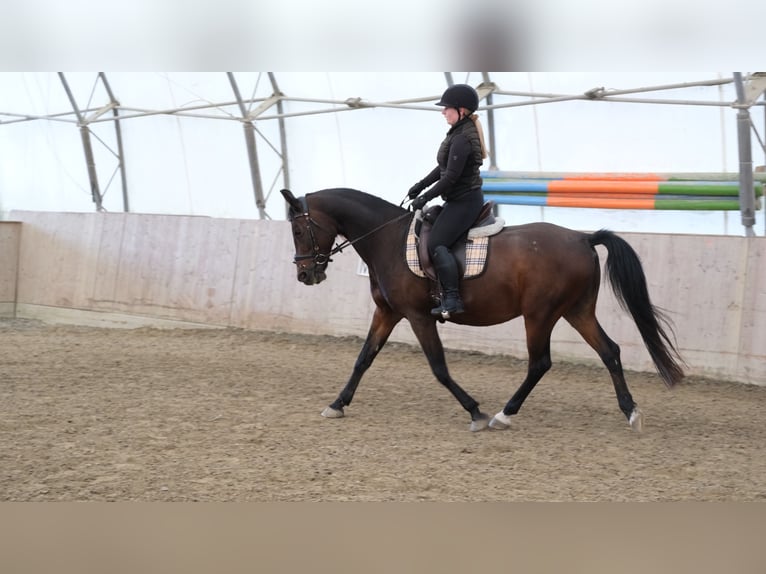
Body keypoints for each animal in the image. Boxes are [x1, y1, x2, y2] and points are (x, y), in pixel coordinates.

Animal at [280, 187, 684, 432]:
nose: (305, 274)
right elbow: (363, 359)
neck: (387, 240)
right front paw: (337, 403)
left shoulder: (418, 316)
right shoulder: (388, 313)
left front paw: (475, 410)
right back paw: (630, 411)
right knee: (609, 351)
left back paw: (504, 415)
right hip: (577, 311)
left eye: (299, 231)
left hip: (540, 314)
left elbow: (439, 368)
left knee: (540, 363)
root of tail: (582, 238)